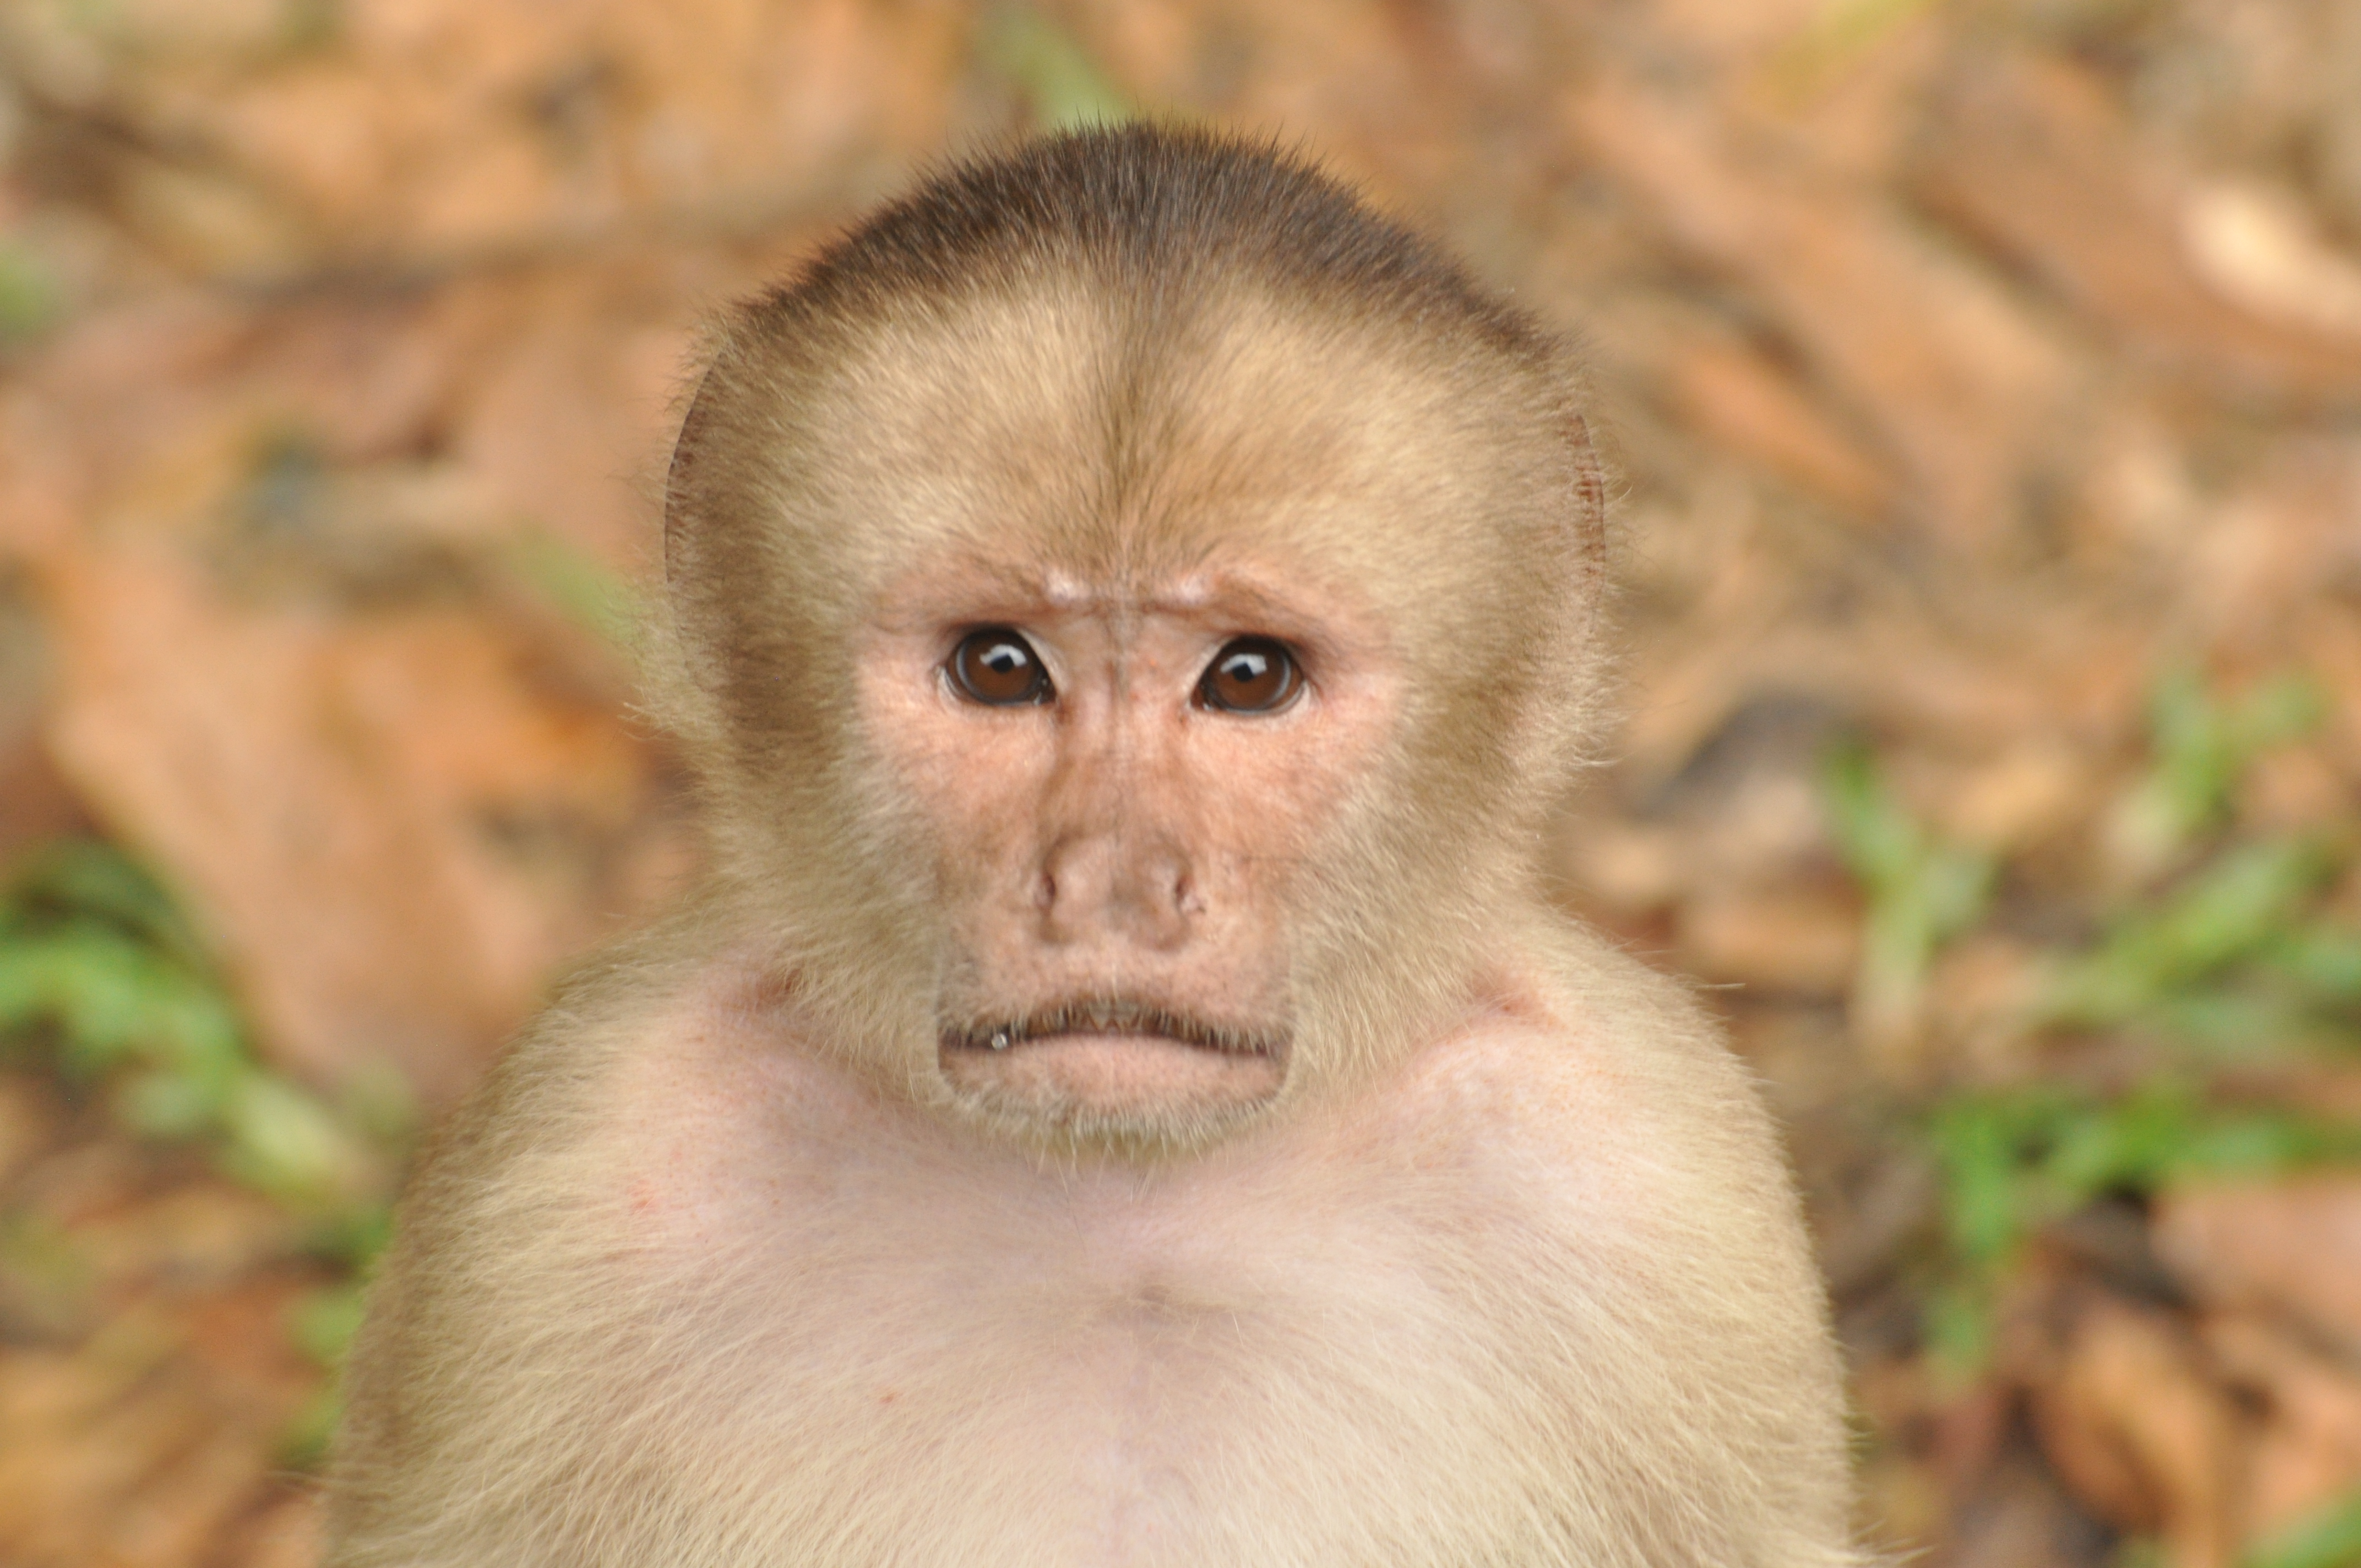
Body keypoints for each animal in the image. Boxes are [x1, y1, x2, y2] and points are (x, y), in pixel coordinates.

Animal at [324, 124, 1860, 1567]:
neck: (1130, 1212)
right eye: (999, 666)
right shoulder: (562, 1172)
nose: (1115, 883)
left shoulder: (1658, 1178)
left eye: (1247, 676)